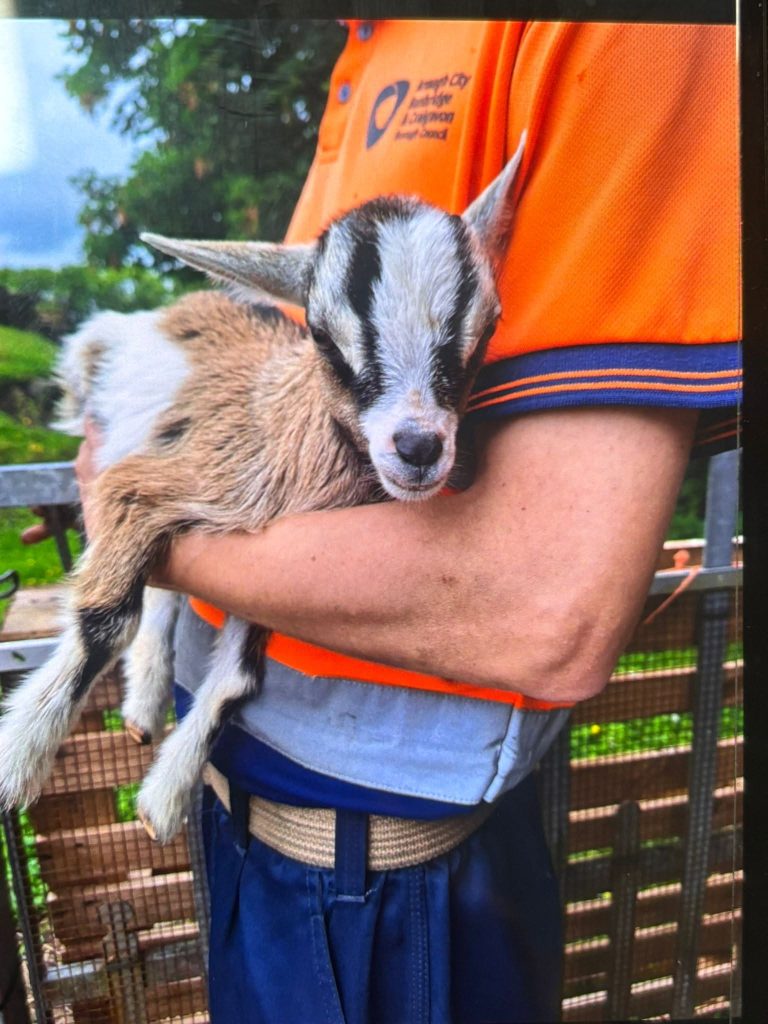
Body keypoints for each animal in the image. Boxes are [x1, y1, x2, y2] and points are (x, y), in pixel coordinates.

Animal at [0, 136, 525, 843]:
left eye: (488, 328)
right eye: (323, 337)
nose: (418, 448)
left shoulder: (267, 565)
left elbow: (238, 677)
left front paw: (164, 796)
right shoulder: (147, 483)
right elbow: (107, 617)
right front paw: (18, 757)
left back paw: (144, 703)